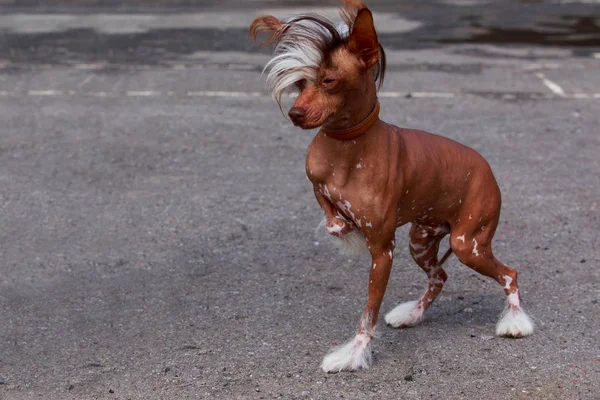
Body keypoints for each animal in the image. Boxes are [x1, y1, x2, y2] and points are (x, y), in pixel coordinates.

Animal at [250, 1, 536, 374]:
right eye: (300, 82)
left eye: (329, 80)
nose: (295, 114)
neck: (346, 148)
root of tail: (487, 169)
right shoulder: (316, 183)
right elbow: (331, 217)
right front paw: (343, 228)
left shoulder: (383, 252)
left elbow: (367, 315)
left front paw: (354, 353)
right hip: (421, 240)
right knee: (439, 277)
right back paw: (412, 314)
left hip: (468, 243)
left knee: (508, 274)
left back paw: (515, 322)